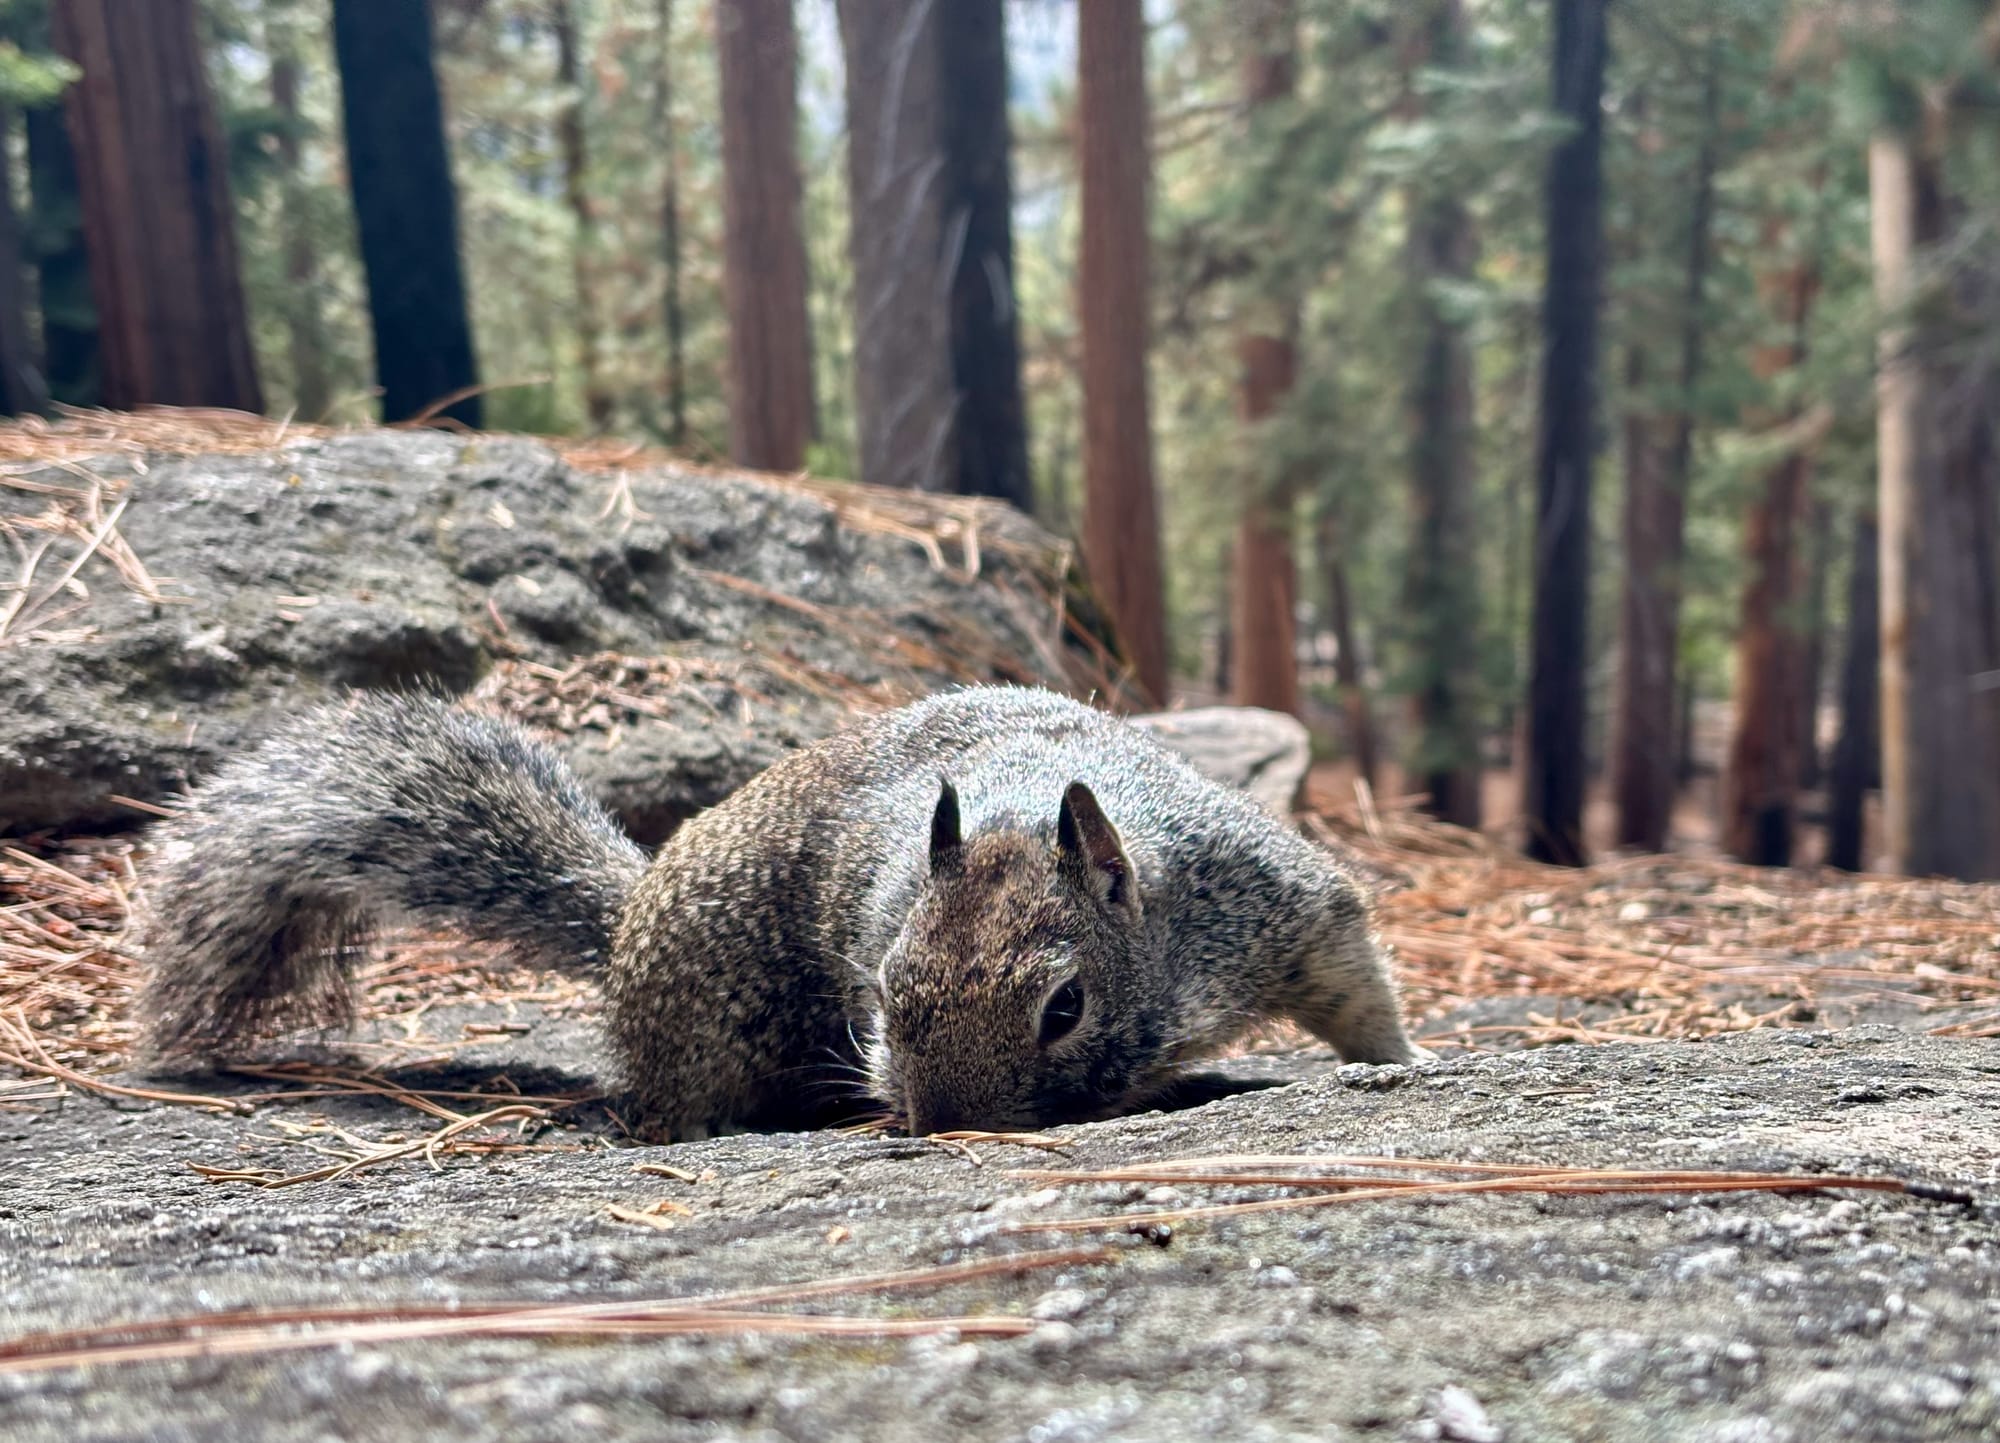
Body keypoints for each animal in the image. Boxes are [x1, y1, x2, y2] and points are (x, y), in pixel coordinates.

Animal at [137, 687, 1424, 1135]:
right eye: (882, 996)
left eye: (1063, 1008)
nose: (941, 1125)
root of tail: (628, 924)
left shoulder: (1268, 903)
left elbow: (1350, 973)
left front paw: (1399, 1062)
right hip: (707, 1037)